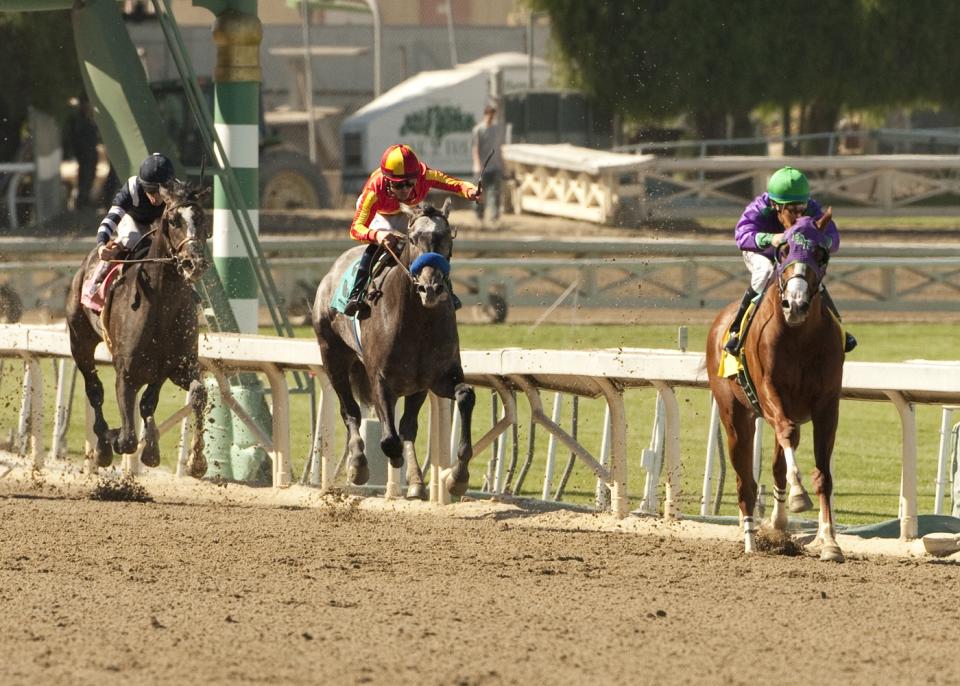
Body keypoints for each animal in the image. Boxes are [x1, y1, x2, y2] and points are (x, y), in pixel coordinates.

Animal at [65, 181, 212, 478]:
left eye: (202, 218)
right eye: (173, 220)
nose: (194, 263)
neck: (160, 305)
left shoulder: (175, 366)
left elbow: (193, 395)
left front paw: (195, 461)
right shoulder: (126, 373)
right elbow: (128, 438)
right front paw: (113, 439)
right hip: (80, 342)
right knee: (94, 390)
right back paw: (102, 446)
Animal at [314, 199, 474, 500]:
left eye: (447, 238)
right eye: (413, 239)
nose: (430, 288)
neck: (418, 323)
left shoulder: (438, 377)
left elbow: (465, 395)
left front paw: (457, 477)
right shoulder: (380, 379)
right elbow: (389, 439)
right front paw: (382, 463)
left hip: (416, 385)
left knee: (408, 426)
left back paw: (415, 480)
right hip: (333, 356)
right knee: (350, 411)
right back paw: (358, 465)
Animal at [704, 211, 848, 564]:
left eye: (821, 254)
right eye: (783, 252)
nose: (795, 304)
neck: (799, 337)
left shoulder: (827, 405)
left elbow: (822, 474)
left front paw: (830, 542)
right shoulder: (769, 392)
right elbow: (785, 433)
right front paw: (799, 495)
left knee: (776, 464)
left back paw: (778, 524)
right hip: (735, 417)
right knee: (745, 481)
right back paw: (751, 540)